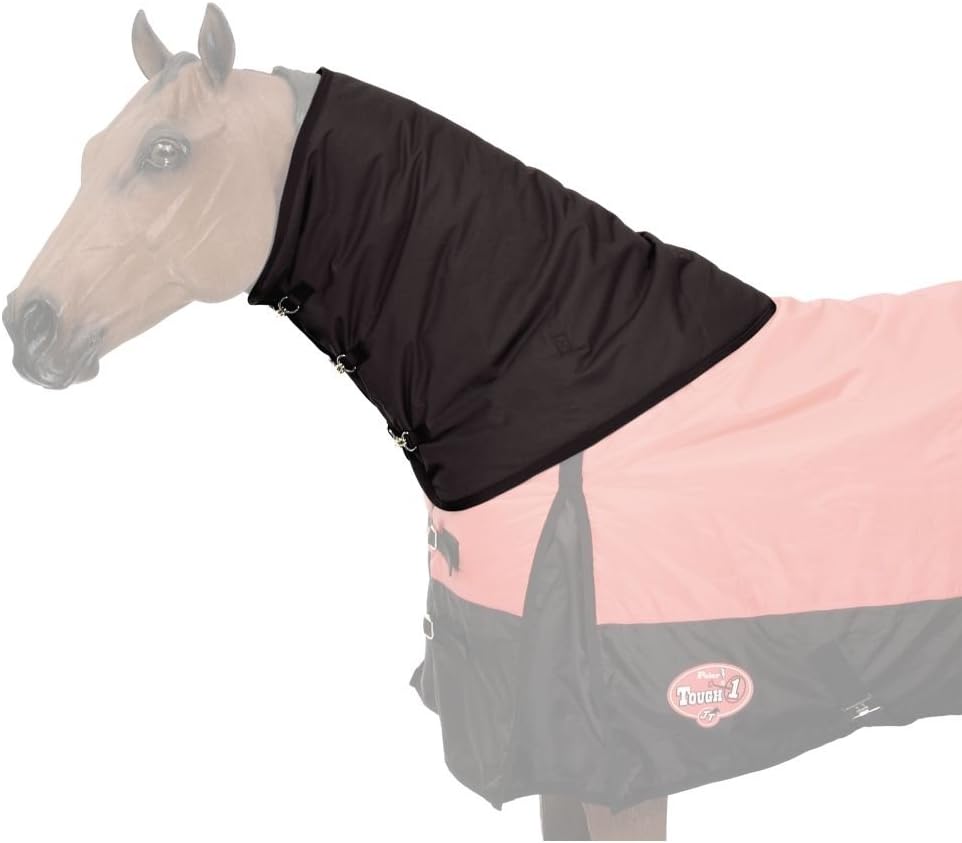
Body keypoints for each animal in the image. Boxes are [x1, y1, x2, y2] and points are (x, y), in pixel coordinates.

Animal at [7, 5, 962, 841]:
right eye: (89, 151)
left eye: (163, 152)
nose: (28, 326)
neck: (560, 379)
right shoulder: (546, 758)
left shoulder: (620, 768)